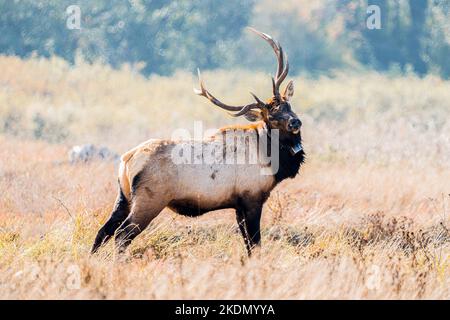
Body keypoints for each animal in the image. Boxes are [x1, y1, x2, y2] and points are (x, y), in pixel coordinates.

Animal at [91, 28, 304, 258]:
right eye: (271, 117)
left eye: (288, 105)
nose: (295, 122)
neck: (272, 159)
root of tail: (127, 160)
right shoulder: (252, 198)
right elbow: (254, 243)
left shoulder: (238, 205)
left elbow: (247, 243)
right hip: (149, 200)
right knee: (122, 234)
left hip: (124, 197)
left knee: (103, 231)